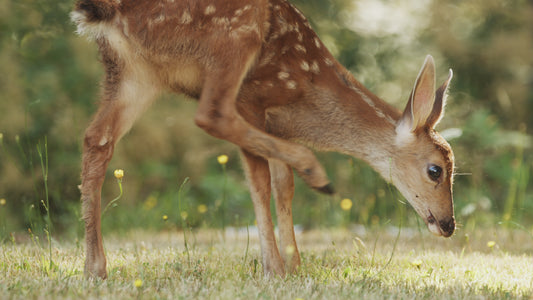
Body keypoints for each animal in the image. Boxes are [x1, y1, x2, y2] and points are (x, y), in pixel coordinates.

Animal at [69, 0, 454, 278]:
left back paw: (95, 269)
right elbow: (260, 181)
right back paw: (315, 172)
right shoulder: (253, 98)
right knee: (211, 114)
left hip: (134, 73)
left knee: (95, 139)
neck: (305, 94)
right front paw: (276, 269)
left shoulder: (273, 125)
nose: (448, 224)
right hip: (235, 36)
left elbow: (284, 186)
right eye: (435, 170)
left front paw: (295, 264)